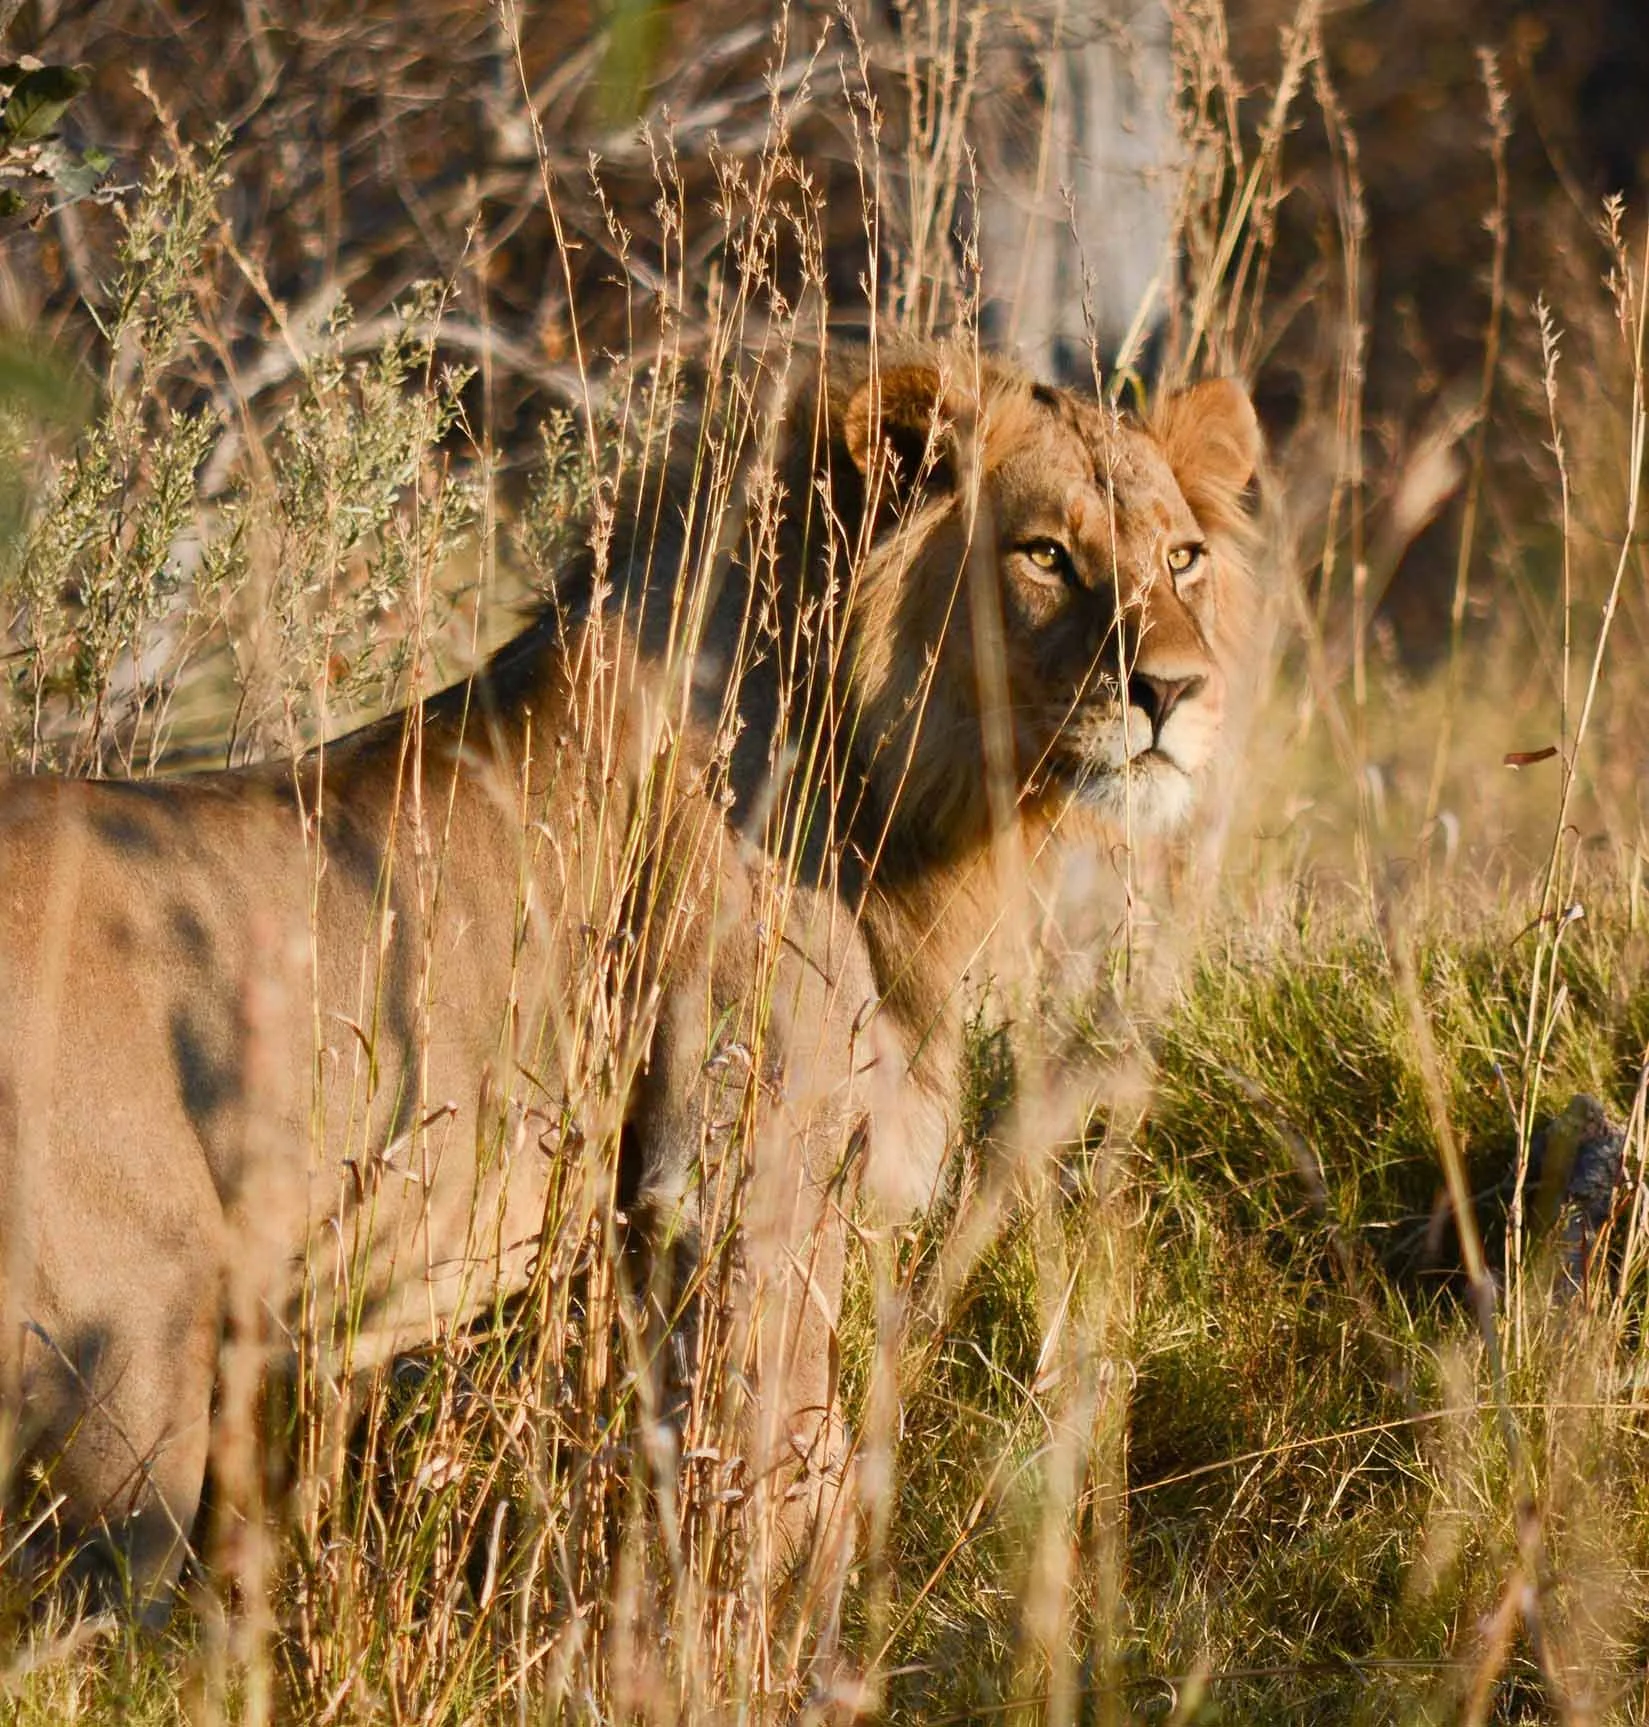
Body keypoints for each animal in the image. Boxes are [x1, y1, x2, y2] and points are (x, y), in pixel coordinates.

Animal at [0, 341, 1259, 1617]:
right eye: (1044, 553)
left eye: (1181, 557)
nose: (1175, 690)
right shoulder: (741, 1177)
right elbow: (782, 1456)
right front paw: (771, 1620)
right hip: (125, 1396)